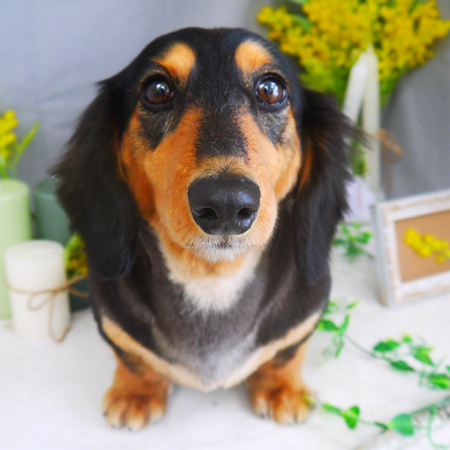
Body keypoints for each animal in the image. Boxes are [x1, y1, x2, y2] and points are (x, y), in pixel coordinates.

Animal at [54, 27, 352, 430]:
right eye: (157, 90)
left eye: (271, 89)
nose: (226, 203)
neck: (212, 278)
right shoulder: (109, 312)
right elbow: (131, 356)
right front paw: (135, 392)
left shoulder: (308, 308)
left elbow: (286, 352)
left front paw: (282, 388)